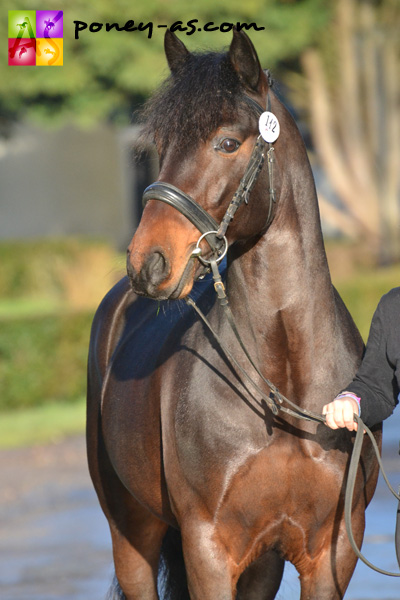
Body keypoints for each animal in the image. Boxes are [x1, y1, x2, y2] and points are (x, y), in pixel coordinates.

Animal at [87, 29, 382, 600]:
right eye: (162, 145)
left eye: (227, 143)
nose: (148, 262)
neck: (282, 388)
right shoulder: (208, 549)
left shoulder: (331, 552)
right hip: (130, 534)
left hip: (261, 567)